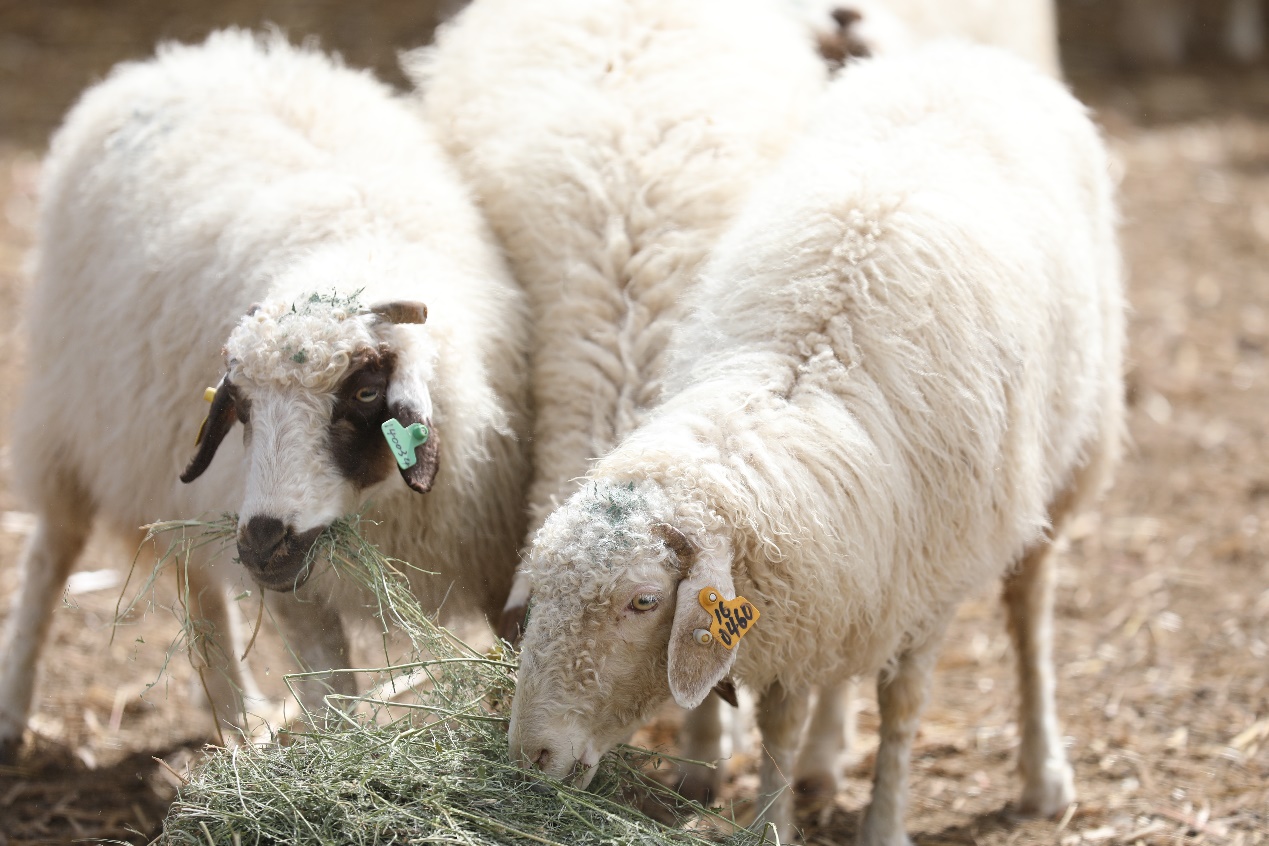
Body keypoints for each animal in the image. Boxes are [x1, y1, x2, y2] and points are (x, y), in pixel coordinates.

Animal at [0, 29, 527, 766]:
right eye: (242, 408)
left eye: (366, 391)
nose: (262, 543)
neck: (354, 247)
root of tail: (183, 56)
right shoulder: (289, 586)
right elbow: (332, 696)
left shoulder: (500, 554)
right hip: (69, 411)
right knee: (50, 555)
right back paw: (14, 711)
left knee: (194, 582)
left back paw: (239, 719)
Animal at [505, 41, 1121, 846]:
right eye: (540, 591)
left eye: (643, 602)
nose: (531, 756)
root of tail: (963, 53)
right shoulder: (809, 588)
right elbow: (781, 722)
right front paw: (776, 815)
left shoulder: (928, 585)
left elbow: (903, 708)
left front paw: (885, 823)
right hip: (863, 569)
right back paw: (827, 761)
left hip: (1067, 461)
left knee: (1029, 611)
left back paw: (1043, 772)